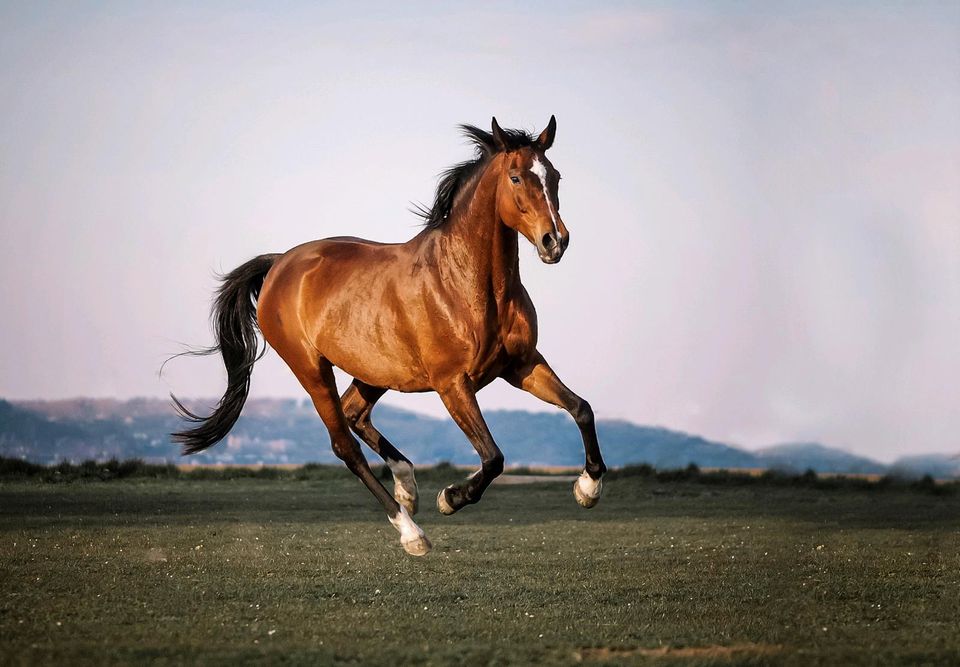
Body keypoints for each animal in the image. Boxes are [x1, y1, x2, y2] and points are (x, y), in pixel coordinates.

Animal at [172, 117, 604, 556]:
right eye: (516, 177)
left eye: (554, 176)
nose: (555, 241)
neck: (466, 284)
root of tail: (280, 264)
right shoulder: (453, 383)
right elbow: (493, 457)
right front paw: (450, 498)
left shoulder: (522, 365)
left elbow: (581, 408)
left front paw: (588, 489)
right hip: (311, 369)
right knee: (344, 445)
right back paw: (411, 531)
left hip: (375, 371)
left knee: (354, 412)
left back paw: (407, 485)